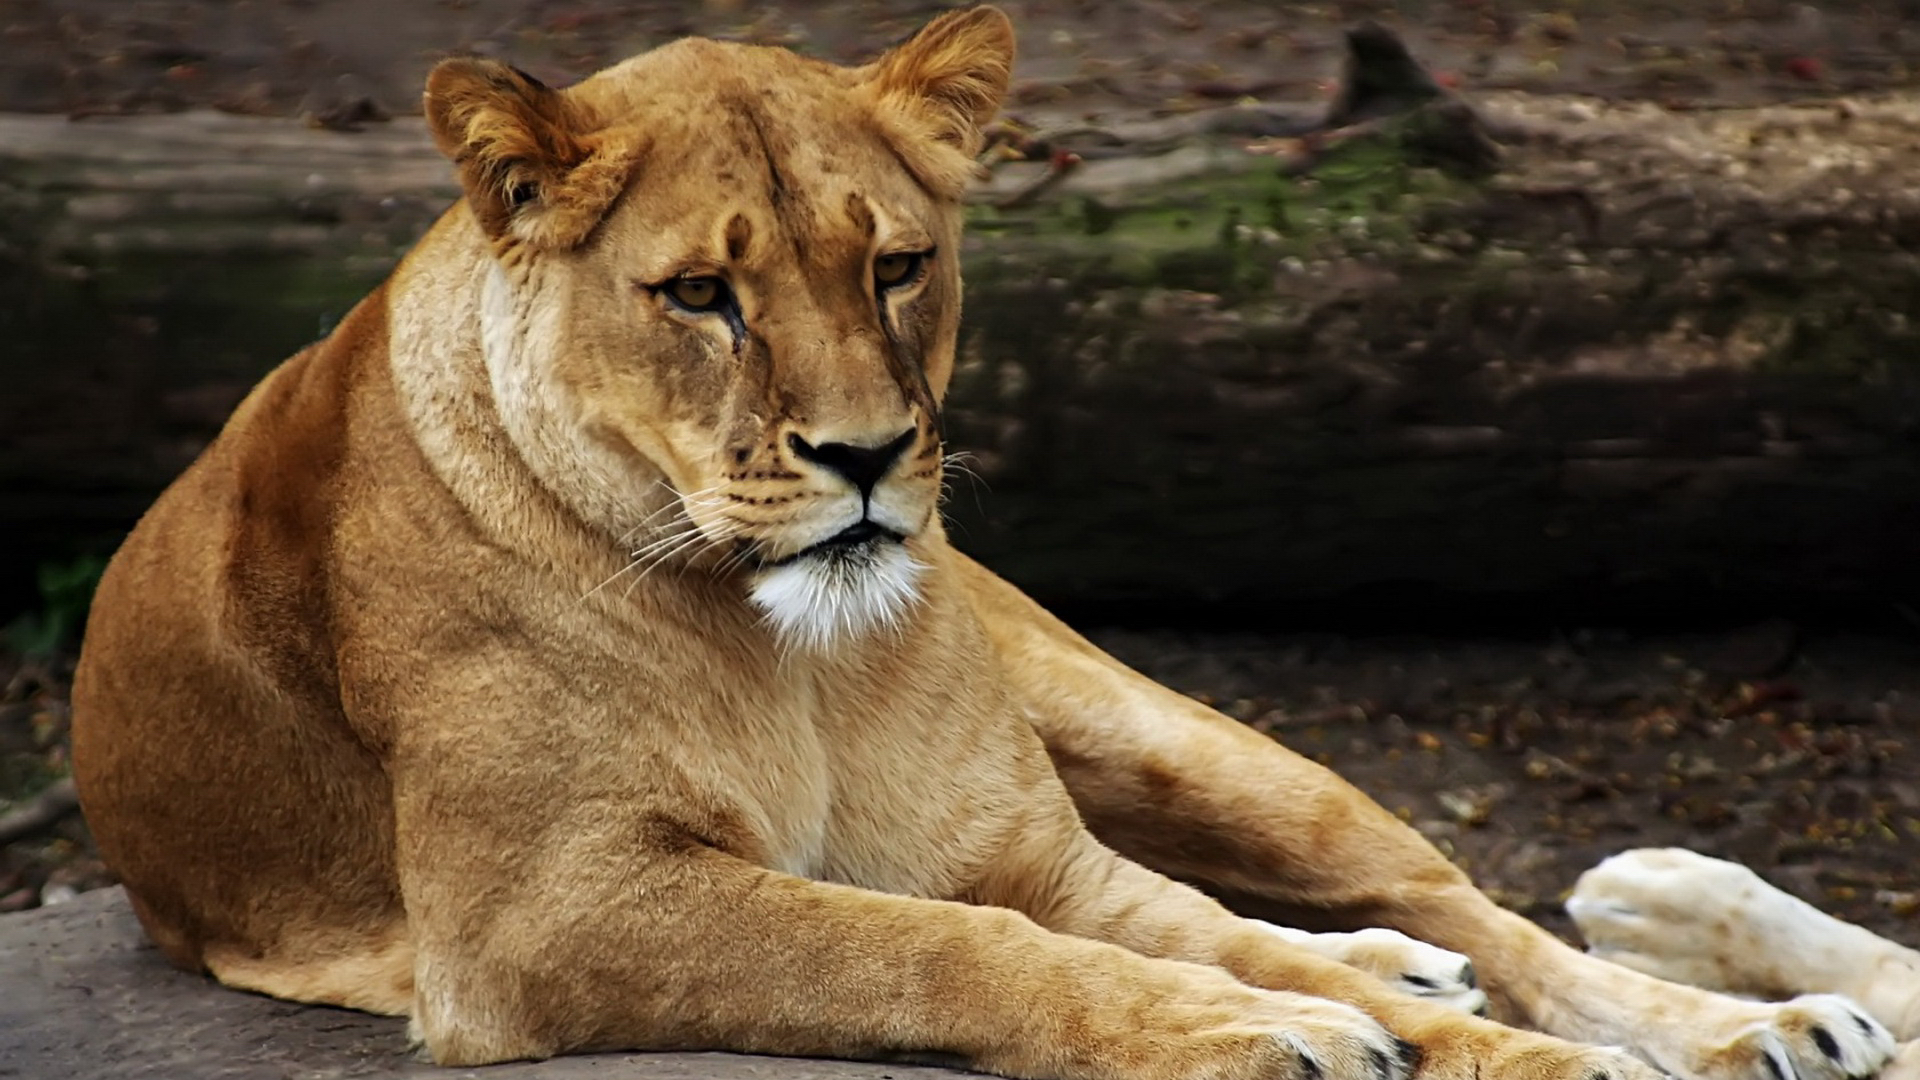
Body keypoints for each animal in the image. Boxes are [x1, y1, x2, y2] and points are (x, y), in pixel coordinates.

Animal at [67, 8, 1896, 1076]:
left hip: (1172, 736)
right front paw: (1276, 1033)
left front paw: (1460, 1037)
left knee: (1458, 900)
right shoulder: (543, 918)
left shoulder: (1036, 850)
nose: (869, 458)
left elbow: (1150, 934)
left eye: (896, 264)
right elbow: (941, 947)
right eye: (701, 294)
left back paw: (1759, 1022)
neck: (787, 653)